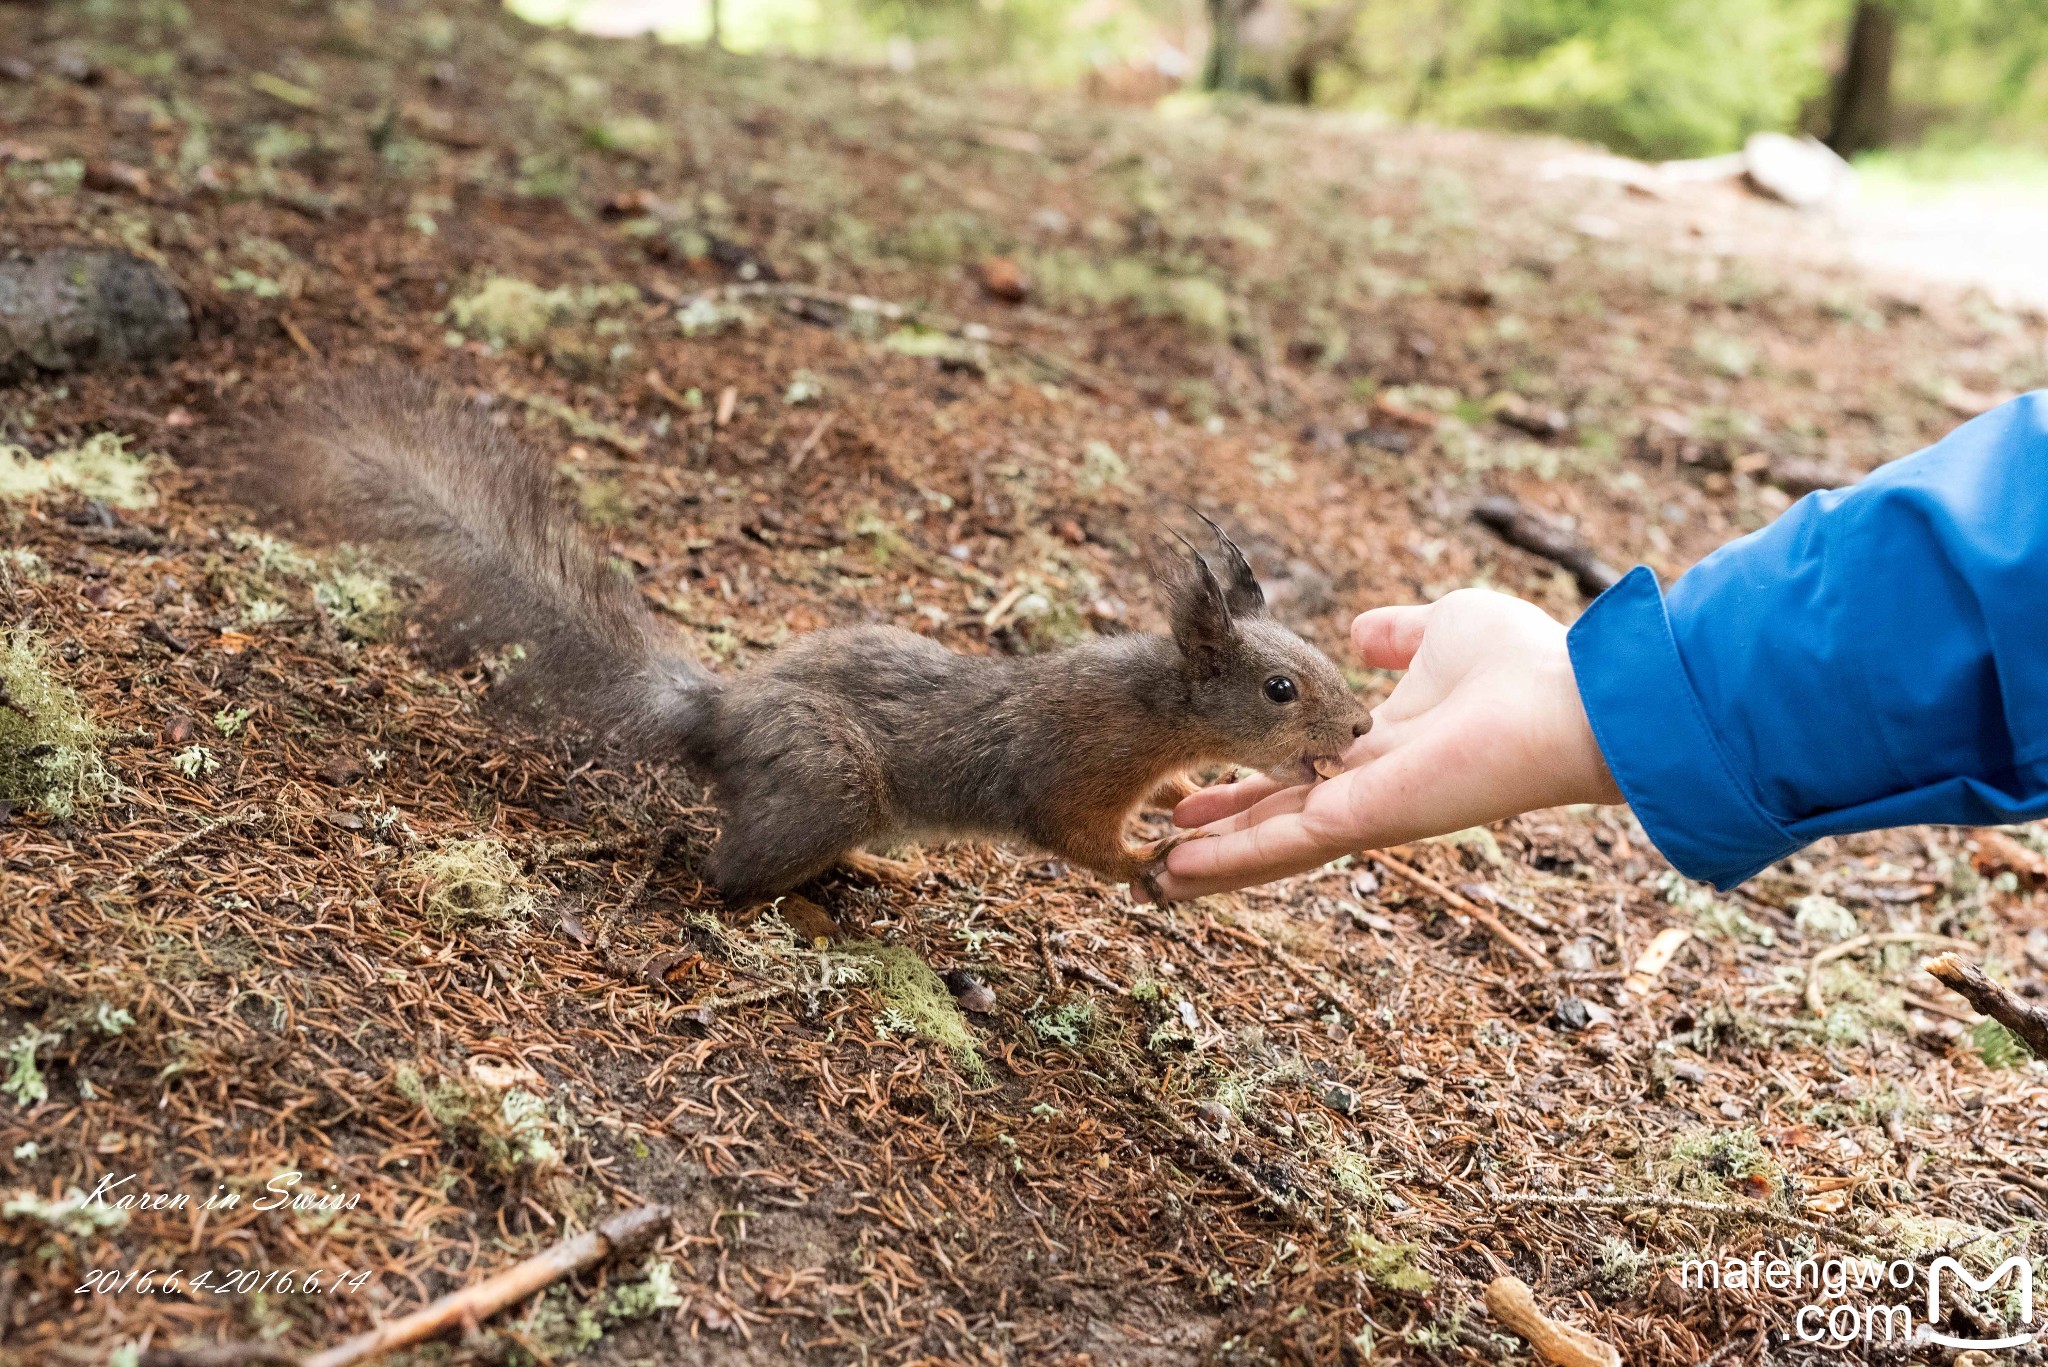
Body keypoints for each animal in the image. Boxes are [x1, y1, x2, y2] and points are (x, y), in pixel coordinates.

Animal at [260, 375, 1376, 909]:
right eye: (1280, 688)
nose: (1363, 727)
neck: (1155, 710)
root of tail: (716, 716)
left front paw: (1182, 797)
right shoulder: (1073, 768)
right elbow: (1080, 840)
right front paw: (1152, 851)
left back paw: (878, 869)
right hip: (820, 782)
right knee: (723, 870)